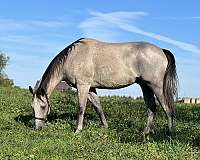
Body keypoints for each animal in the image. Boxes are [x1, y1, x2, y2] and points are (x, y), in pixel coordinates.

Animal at [28, 37, 178, 135]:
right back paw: (144, 133)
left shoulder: (83, 85)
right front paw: (106, 127)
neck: (73, 57)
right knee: (151, 108)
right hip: (145, 86)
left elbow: (81, 108)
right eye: (33, 107)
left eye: (43, 107)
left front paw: (77, 130)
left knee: (167, 108)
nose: (38, 128)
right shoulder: (91, 88)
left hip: (156, 87)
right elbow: (98, 108)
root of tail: (161, 50)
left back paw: (170, 133)